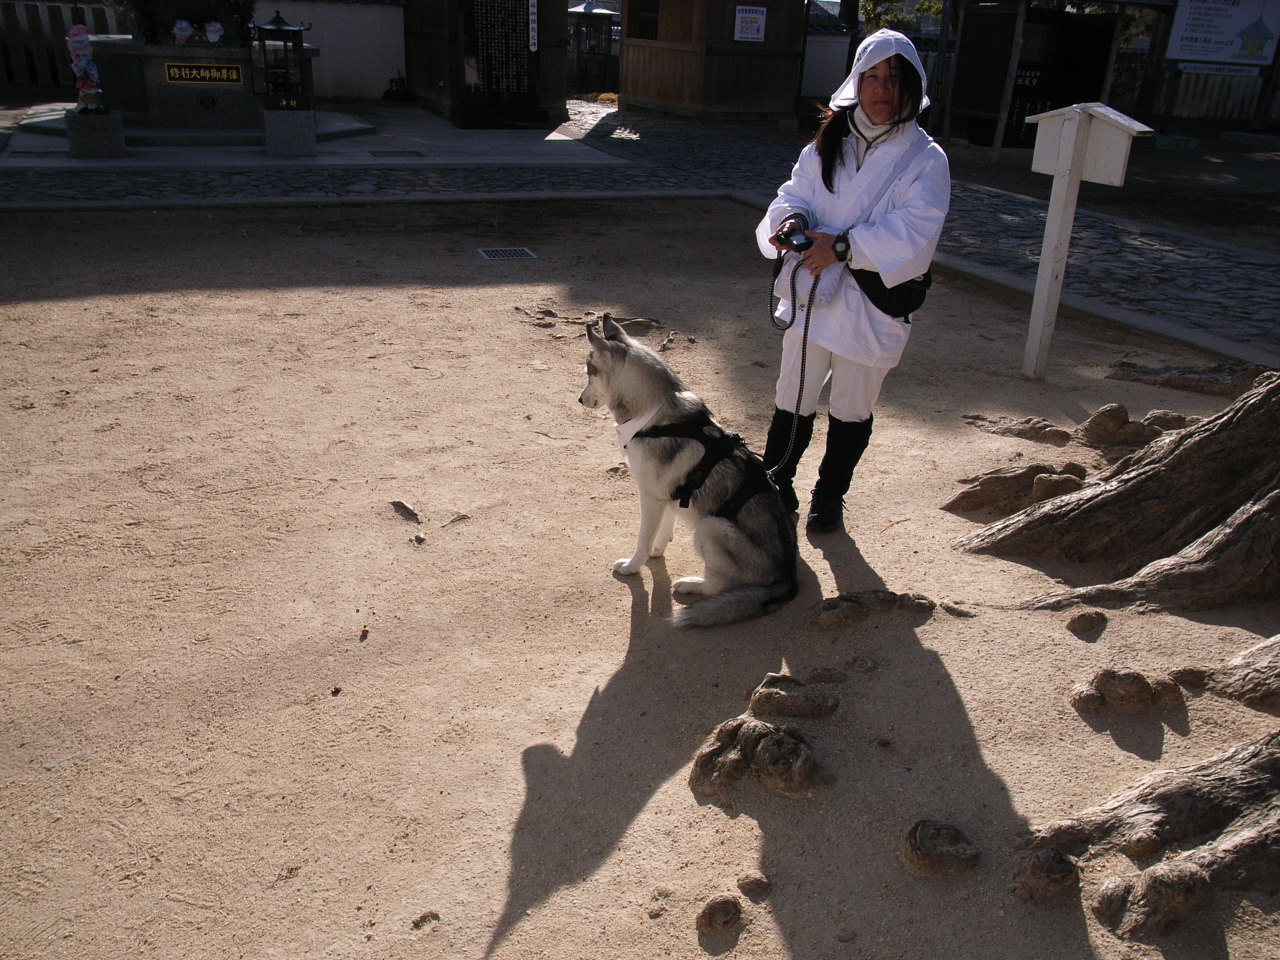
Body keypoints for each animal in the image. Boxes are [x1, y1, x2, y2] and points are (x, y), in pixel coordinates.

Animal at [581, 320, 798, 627]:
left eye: (589, 373)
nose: (580, 399)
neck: (653, 415)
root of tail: (788, 578)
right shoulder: (667, 494)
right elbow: (664, 527)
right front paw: (657, 550)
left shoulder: (650, 496)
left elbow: (642, 539)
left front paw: (634, 565)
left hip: (711, 525)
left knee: (719, 586)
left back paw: (692, 584)